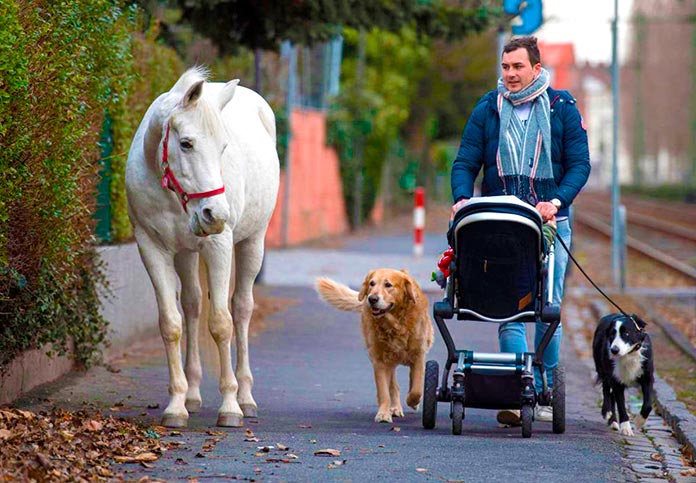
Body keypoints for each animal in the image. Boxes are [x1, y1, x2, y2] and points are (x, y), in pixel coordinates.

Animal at [126, 67, 278, 428]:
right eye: (186, 143)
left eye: (223, 147)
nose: (215, 215)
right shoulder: (151, 248)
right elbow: (171, 324)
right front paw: (176, 405)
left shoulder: (218, 246)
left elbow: (222, 323)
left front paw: (230, 407)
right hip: (185, 254)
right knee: (193, 306)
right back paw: (192, 395)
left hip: (253, 243)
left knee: (241, 308)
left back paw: (246, 397)